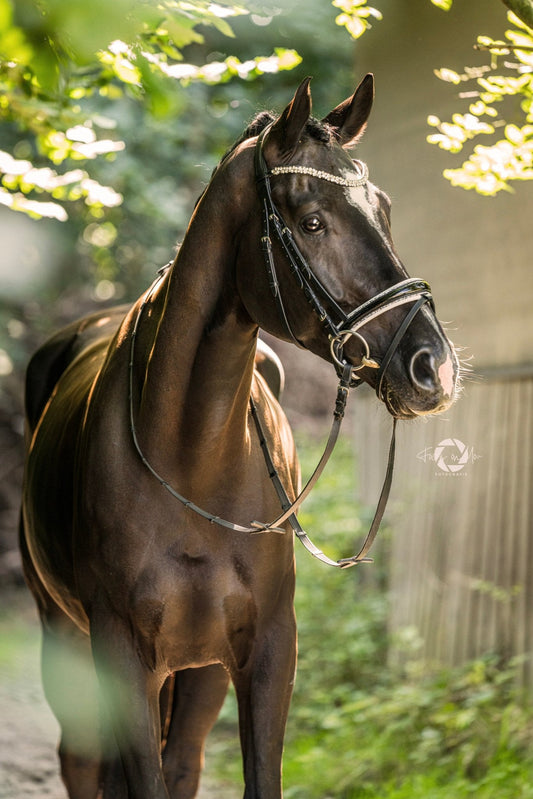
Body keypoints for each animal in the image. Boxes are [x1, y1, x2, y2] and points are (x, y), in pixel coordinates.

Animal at [21, 76, 458, 799]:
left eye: (385, 209)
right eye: (311, 222)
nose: (434, 366)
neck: (191, 459)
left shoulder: (267, 650)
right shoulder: (120, 657)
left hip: (196, 672)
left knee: (181, 762)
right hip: (67, 638)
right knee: (81, 761)